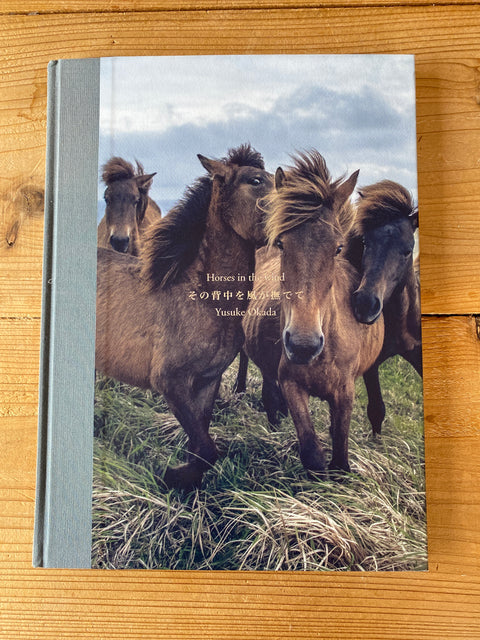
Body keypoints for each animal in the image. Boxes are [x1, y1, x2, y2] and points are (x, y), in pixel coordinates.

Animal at [96, 144, 273, 490]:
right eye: (256, 180)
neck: (201, 297)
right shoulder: (171, 383)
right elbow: (206, 449)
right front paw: (167, 475)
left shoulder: (207, 382)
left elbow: (200, 446)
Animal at [243, 151, 384, 476]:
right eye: (281, 244)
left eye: (338, 248)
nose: (303, 345)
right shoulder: (291, 383)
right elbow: (313, 455)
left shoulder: (344, 393)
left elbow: (340, 457)